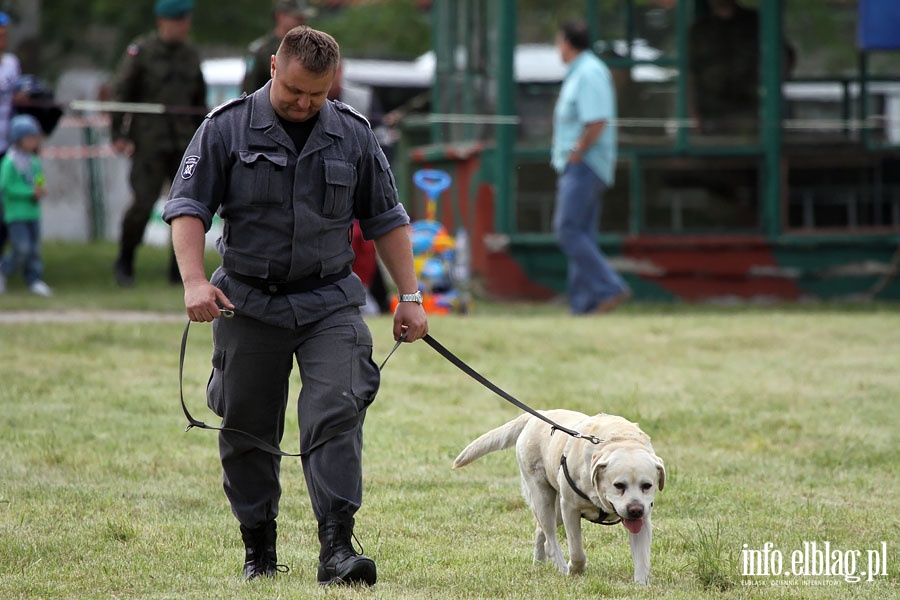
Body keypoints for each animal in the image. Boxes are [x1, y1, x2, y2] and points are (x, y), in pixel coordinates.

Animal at [454, 410, 664, 584]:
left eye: (647, 486)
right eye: (619, 485)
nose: (635, 510)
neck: (619, 440)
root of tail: (536, 415)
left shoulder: (644, 519)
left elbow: (642, 557)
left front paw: (641, 585)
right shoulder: (570, 508)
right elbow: (577, 551)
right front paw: (575, 570)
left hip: (555, 511)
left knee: (540, 531)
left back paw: (539, 563)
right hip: (542, 498)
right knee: (550, 539)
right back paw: (561, 568)